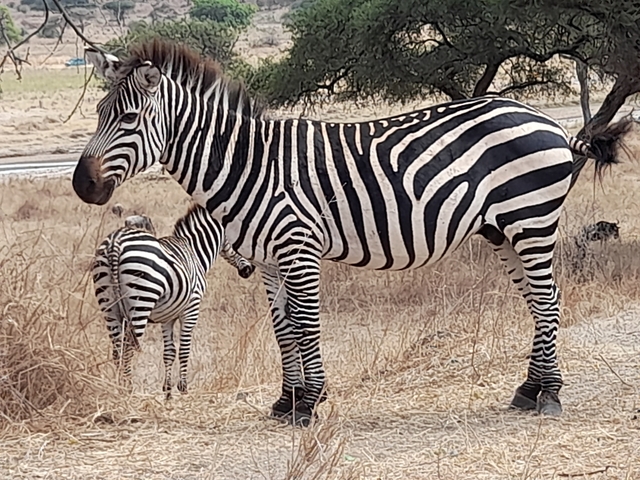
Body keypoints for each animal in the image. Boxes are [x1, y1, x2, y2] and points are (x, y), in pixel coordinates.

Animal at [93, 205, 255, 399]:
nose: (250, 269)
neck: (194, 251)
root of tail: (115, 241)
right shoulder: (191, 308)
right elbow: (184, 349)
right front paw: (183, 388)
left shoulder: (167, 317)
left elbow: (169, 352)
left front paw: (168, 391)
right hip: (140, 302)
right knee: (127, 348)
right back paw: (127, 389)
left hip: (109, 306)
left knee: (117, 348)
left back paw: (118, 388)